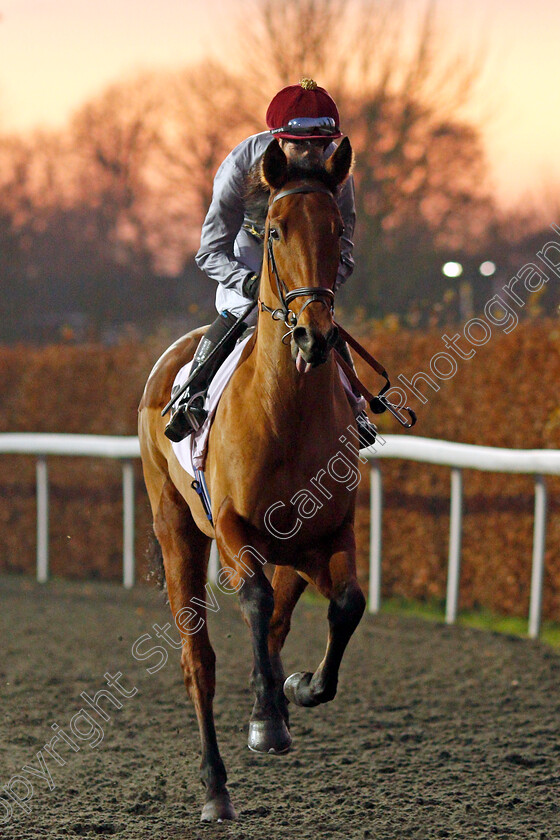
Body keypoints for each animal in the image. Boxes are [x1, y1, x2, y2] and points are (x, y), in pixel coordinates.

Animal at [139, 138, 368, 820]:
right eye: (274, 229)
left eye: (338, 228)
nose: (314, 336)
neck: (283, 410)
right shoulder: (236, 527)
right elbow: (255, 601)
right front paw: (267, 715)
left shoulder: (331, 529)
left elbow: (346, 605)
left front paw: (300, 688)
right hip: (178, 528)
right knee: (199, 658)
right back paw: (216, 787)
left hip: (291, 546)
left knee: (282, 619)